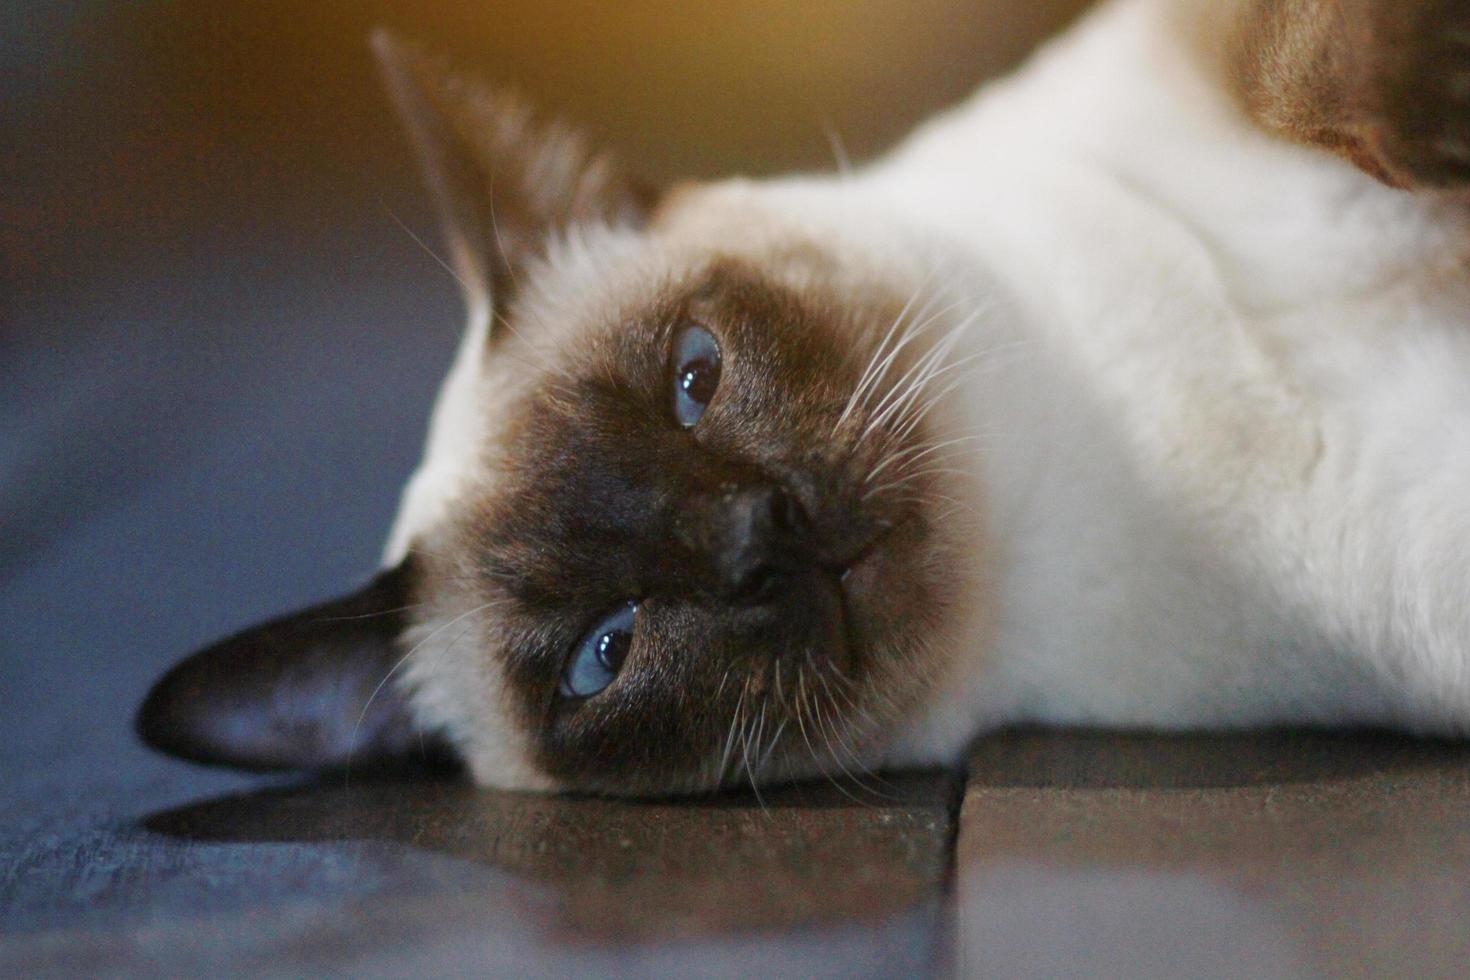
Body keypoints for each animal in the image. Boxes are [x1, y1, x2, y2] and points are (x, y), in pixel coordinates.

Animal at [140, 0, 1470, 799]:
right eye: (604, 649)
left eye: (693, 379)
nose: (756, 541)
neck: (1073, 454)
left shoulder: (1185, 47)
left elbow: (1296, 65)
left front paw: (1434, 99)